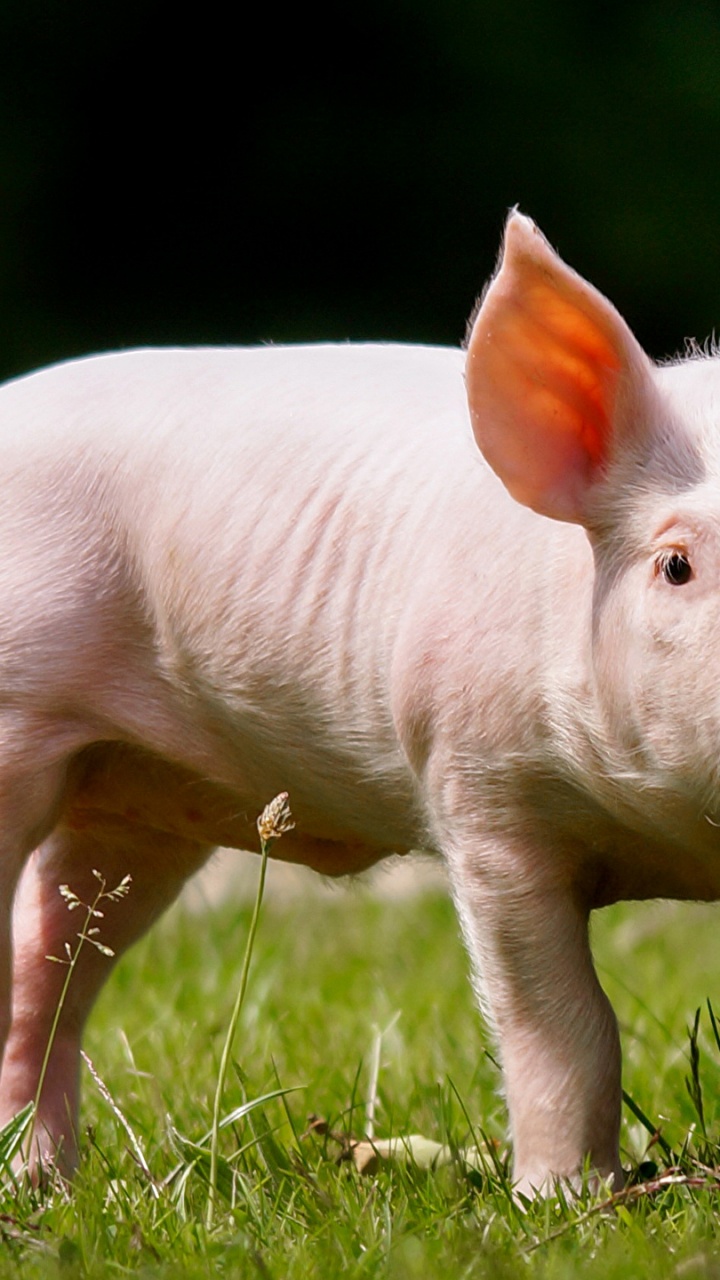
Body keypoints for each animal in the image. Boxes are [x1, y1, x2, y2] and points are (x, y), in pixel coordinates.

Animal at [0, 210, 715, 1197]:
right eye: (676, 564)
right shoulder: (479, 790)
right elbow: (563, 1023)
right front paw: (564, 1200)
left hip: (135, 803)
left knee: (50, 964)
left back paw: (47, 1183)